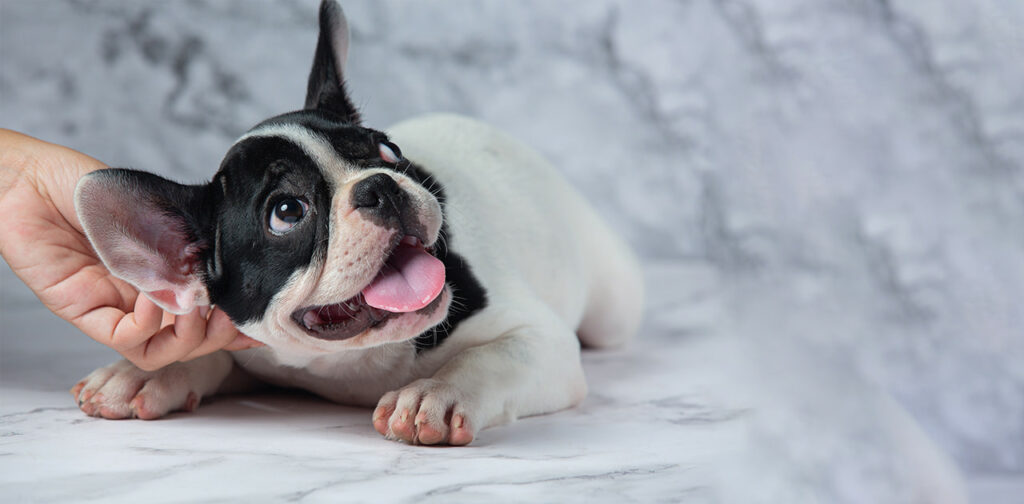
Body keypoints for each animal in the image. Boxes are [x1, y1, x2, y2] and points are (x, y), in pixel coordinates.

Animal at [74, 1, 638, 446]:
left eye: (387, 151)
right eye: (286, 212)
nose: (380, 186)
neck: (353, 361)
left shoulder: (540, 340)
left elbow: (490, 358)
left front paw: (436, 393)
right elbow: (206, 353)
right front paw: (144, 373)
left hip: (612, 308)